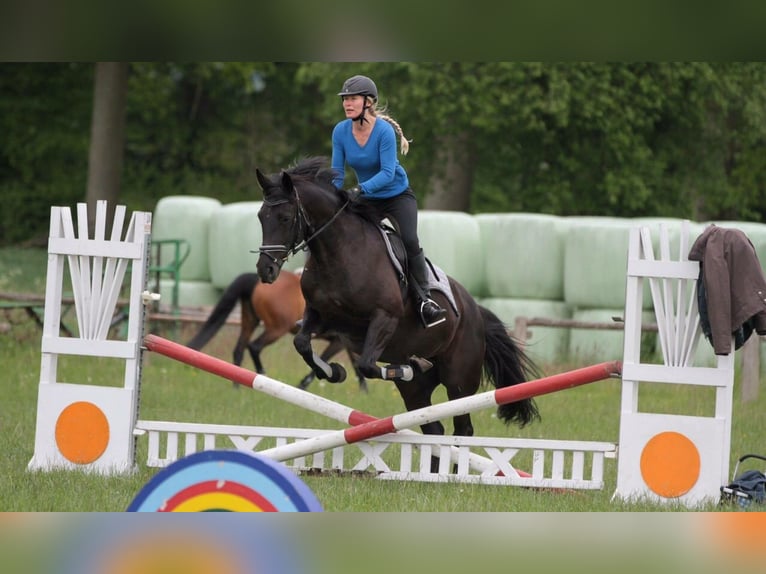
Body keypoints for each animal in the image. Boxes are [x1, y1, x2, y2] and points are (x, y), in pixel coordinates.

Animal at [186, 270, 366, 392]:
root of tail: (256, 280)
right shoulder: (339, 342)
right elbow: (325, 358)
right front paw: (302, 385)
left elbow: (356, 365)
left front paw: (364, 391)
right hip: (277, 329)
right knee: (255, 346)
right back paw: (262, 375)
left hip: (250, 321)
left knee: (239, 350)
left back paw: (237, 386)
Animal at [256, 156, 540, 454]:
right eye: (261, 217)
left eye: (285, 218)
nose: (266, 270)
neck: (338, 254)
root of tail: (475, 311)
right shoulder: (319, 314)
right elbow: (302, 343)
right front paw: (334, 372)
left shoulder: (385, 317)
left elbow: (367, 365)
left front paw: (403, 369)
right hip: (418, 392)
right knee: (434, 431)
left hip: (459, 380)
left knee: (461, 430)